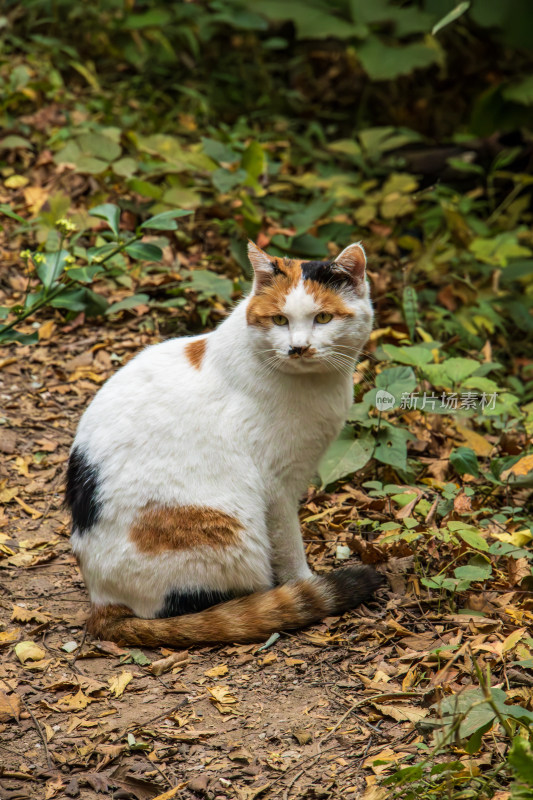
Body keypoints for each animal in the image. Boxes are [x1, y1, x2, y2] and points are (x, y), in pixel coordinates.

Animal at [66, 241, 382, 648]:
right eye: (280, 320)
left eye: (323, 318)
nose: (298, 348)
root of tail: (103, 602)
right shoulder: (276, 485)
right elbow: (290, 546)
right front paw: (304, 581)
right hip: (229, 530)